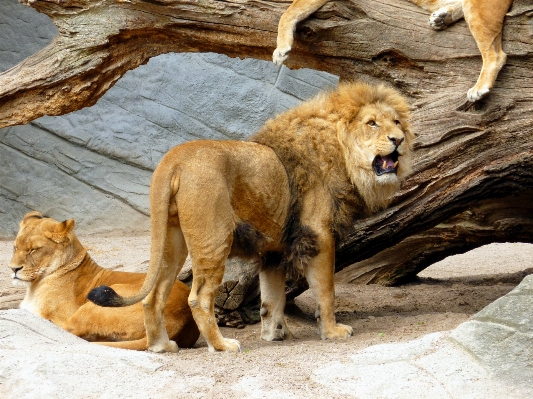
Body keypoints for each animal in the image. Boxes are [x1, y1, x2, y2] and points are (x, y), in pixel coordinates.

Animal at [9, 212, 197, 350]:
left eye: (34, 250)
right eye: (15, 247)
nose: (13, 269)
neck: (35, 285)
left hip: (101, 299)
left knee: (70, 331)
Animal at [87, 82, 414, 354]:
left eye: (397, 122)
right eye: (372, 123)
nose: (398, 140)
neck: (343, 154)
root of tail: (174, 160)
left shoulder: (274, 250)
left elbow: (272, 298)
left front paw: (276, 334)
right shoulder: (318, 235)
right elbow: (326, 290)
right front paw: (332, 332)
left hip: (171, 239)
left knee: (153, 295)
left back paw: (161, 346)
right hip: (213, 239)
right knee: (199, 297)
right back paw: (221, 346)